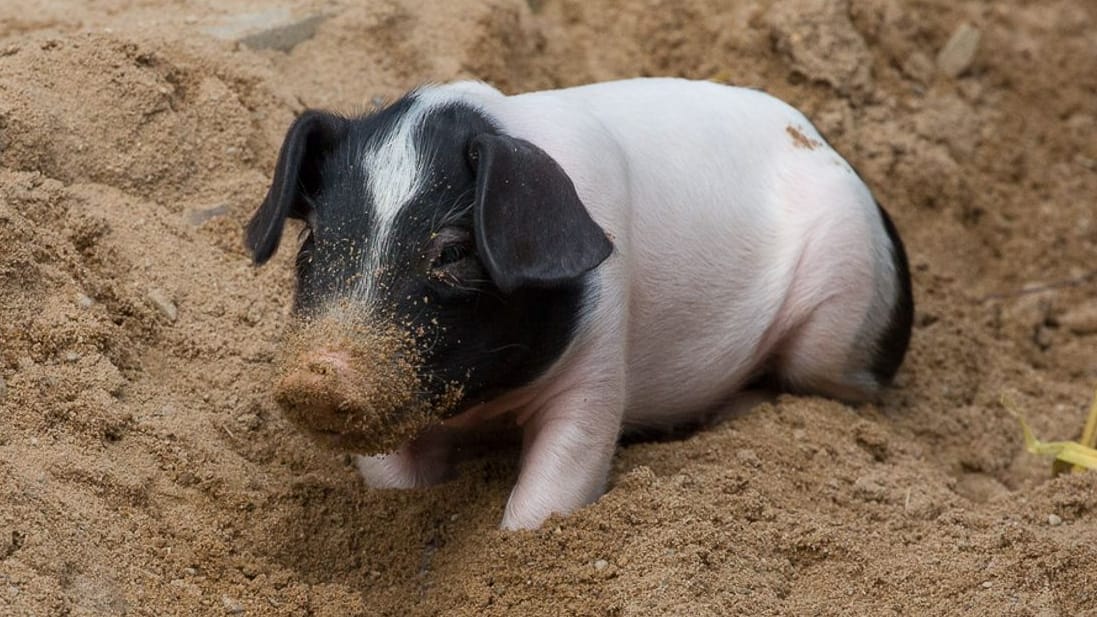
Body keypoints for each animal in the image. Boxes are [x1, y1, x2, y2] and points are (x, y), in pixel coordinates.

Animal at [244, 76, 912, 529]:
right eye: (314, 241)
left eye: (453, 251)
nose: (319, 378)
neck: (485, 407)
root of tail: (829, 147)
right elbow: (394, 482)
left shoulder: (597, 365)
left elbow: (554, 487)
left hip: (842, 316)